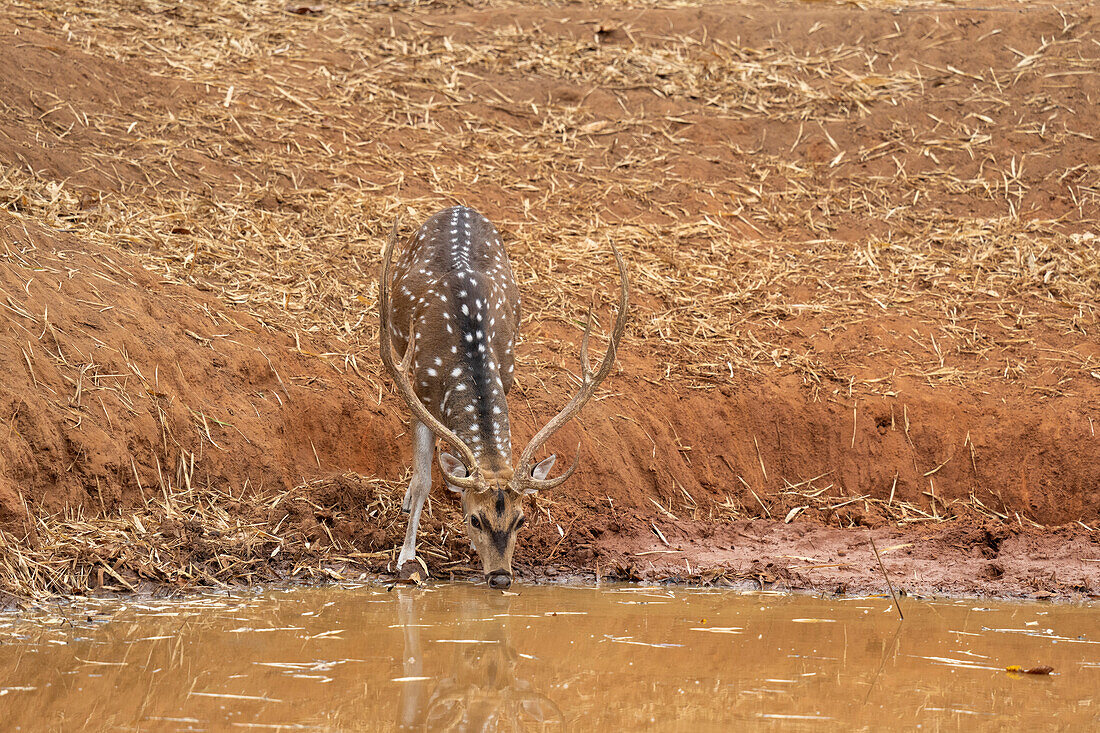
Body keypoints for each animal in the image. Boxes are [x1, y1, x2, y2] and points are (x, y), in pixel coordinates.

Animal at [378, 205, 629, 589]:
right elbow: (423, 481)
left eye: (521, 520)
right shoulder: (419, 391)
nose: (500, 578)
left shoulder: (506, 374)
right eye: (475, 520)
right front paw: (407, 558)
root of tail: (458, 206)